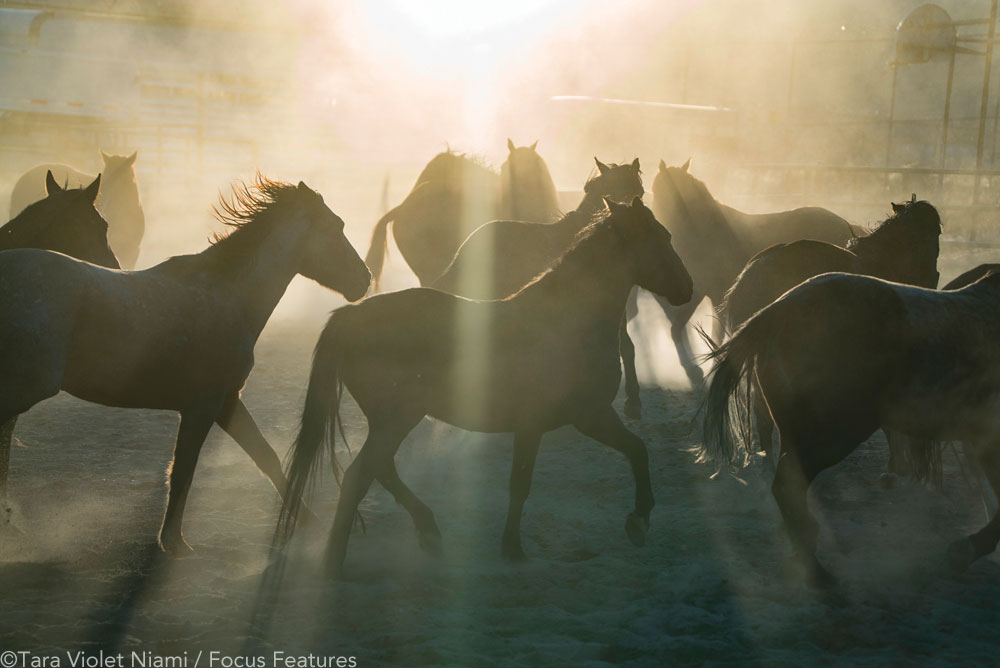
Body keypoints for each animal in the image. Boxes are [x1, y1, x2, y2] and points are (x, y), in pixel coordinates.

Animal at [0, 176, 372, 552]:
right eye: (335, 227)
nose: (365, 279)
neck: (228, 294)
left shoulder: (227, 401)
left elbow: (265, 457)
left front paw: (310, 521)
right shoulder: (202, 406)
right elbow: (183, 472)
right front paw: (173, 542)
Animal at [278, 196, 692, 576]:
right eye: (662, 237)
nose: (687, 288)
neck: (569, 319)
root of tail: (349, 317)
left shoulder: (583, 417)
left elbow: (636, 450)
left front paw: (638, 521)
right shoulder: (563, 420)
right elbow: (522, 483)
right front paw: (514, 548)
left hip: (391, 421)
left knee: (381, 469)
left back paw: (426, 532)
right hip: (397, 418)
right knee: (359, 476)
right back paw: (336, 560)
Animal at [700, 270, 1000, 584]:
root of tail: (778, 312)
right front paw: (969, 549)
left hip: (797, 432)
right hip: (839, 433)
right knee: (787, 486)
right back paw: (816, 570)